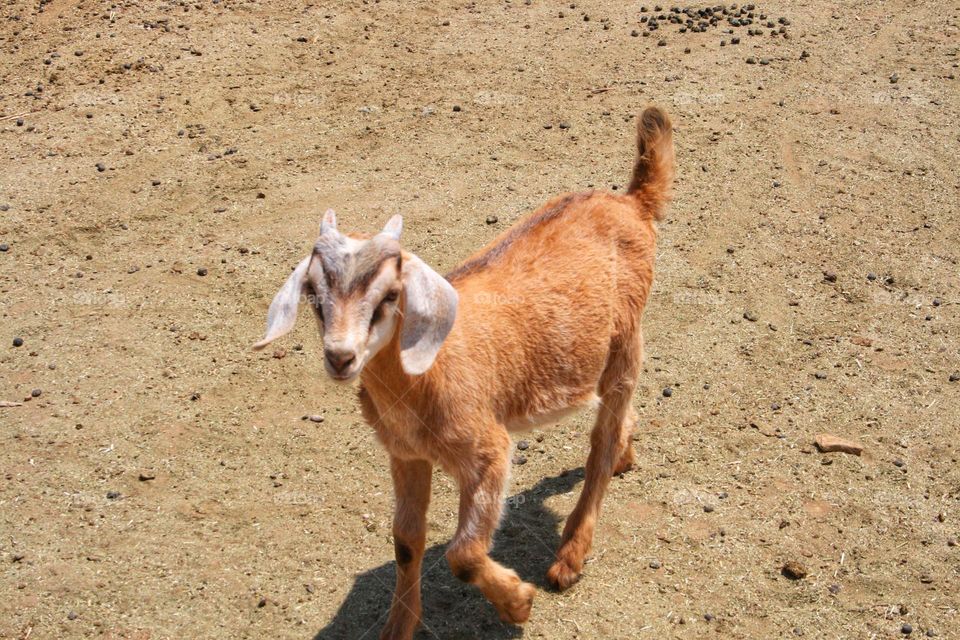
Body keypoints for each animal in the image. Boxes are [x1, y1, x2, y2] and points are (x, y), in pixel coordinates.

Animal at [253, 106, 674, 639]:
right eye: (312, 293)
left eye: (390, 294)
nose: (341, 357)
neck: (423, 379)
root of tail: (632, 203)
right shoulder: (406, 453)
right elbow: (405, 541)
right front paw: (397, 629)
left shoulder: (486, 449)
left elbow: (463, 554)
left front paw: (518, 603)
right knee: (620, 423)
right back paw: (626, 457)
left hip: (624, 340)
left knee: (602, 438)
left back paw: (569, 557)